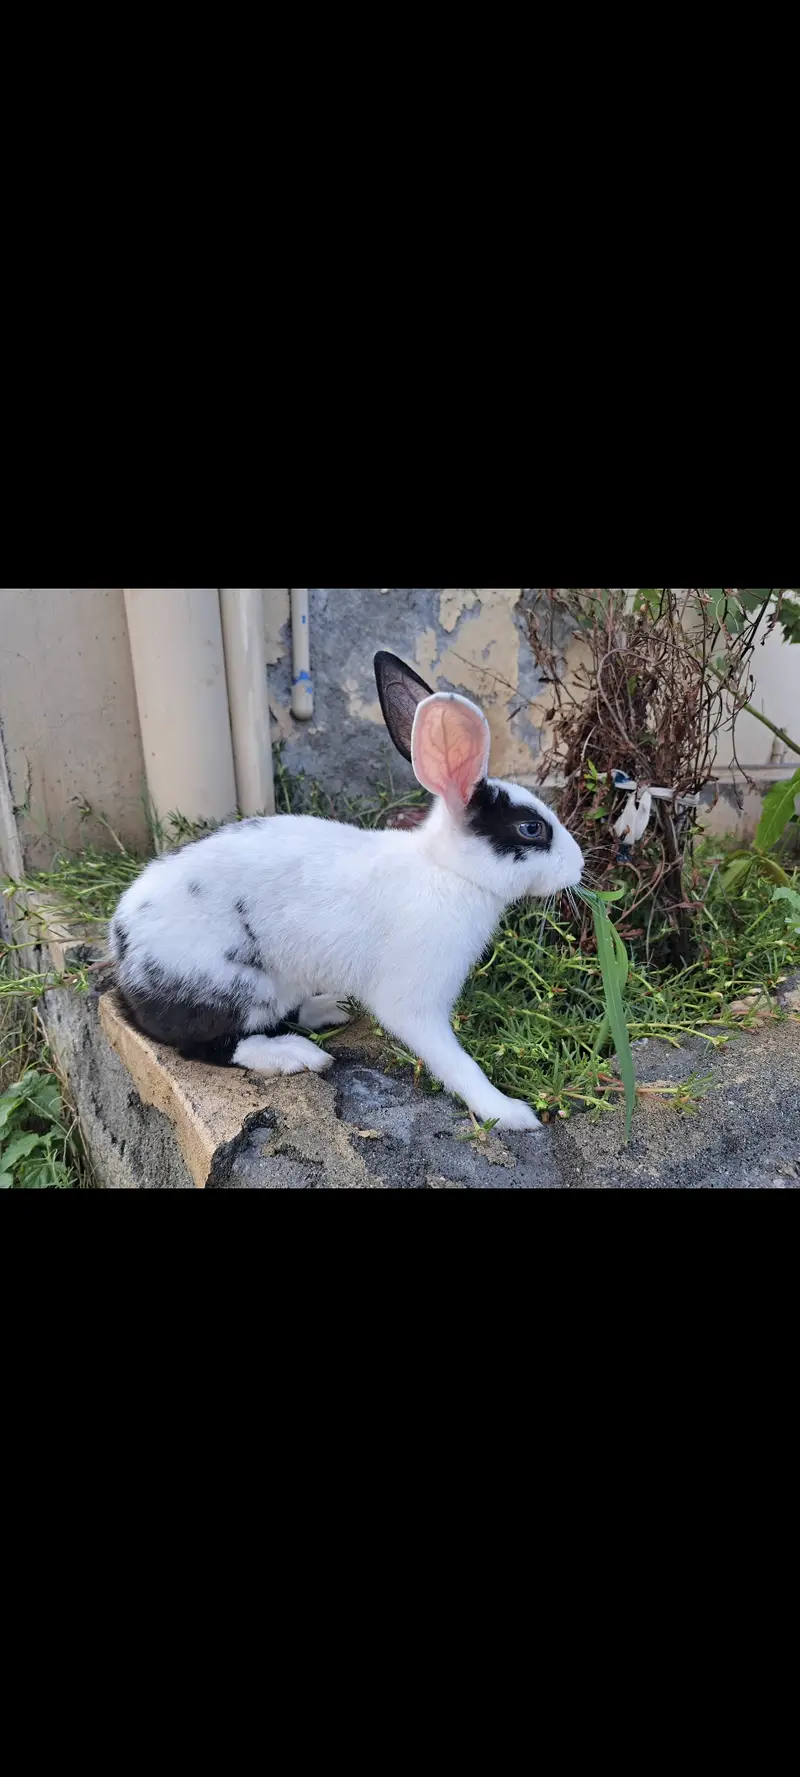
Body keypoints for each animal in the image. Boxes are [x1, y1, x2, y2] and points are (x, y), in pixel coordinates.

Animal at [109, 651, 584, 1131]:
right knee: (206, 1045)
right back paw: (294, 1054)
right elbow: (456, 1062)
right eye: (531, 829)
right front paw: (509, 1113)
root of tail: (125, 962)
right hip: (238, 987)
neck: (447, 870)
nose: (579, 866)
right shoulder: (415, 1004)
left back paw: (331, 1007)